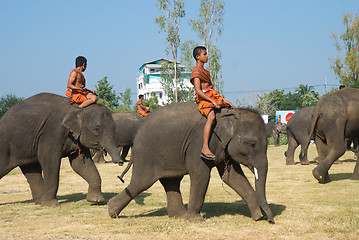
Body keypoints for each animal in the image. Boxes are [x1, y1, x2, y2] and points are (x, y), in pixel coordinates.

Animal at [108, 102, 274, 222]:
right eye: (252, 144)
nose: (270, 220)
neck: (228, 114)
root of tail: (138, 132)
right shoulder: (199, 144)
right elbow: (201, 175)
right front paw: (196, 220)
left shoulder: (223, 147)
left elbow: (232, 177)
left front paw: (257, 216)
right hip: (146, 154)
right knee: (141, 183)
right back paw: (111, 210)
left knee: (171, 181)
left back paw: (179, 216)